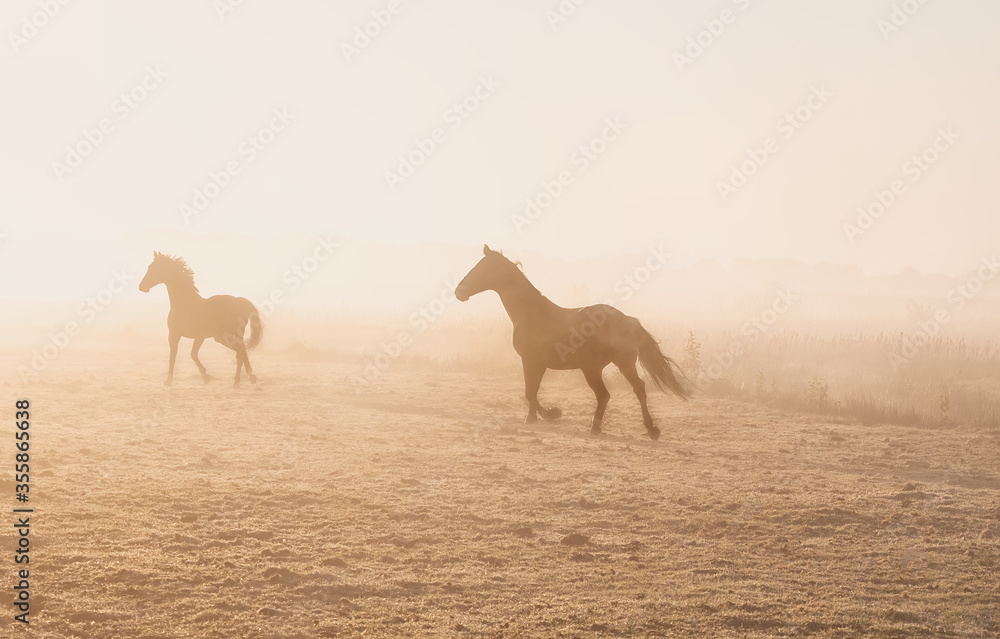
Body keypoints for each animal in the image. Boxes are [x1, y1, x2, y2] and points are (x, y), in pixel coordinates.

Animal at [139, 252, 263, 387]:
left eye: (152, 268)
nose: (141, 287)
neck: (183, 302)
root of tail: (239, 302)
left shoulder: (174, 334)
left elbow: (173, 357)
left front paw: (168, 381)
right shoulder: (199, 337)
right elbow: (193, 354)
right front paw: (205, 377)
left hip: (222, 337)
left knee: (240, 351)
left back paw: (242, 379)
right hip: (235, 335)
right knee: (241, 352)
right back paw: (245, 379)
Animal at [455, 245, 688, 440]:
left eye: (481, 268)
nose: (459, 291)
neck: (531, 314)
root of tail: (629, 320)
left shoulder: (531, 361)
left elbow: (530, 392)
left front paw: (552, 413)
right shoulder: (536, 364)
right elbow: (532, 391)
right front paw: (531, 418)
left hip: (597, 368)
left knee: (611, 393)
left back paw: (610, 427)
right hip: (614, 365)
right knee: (630, 390)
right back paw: (642, 428)